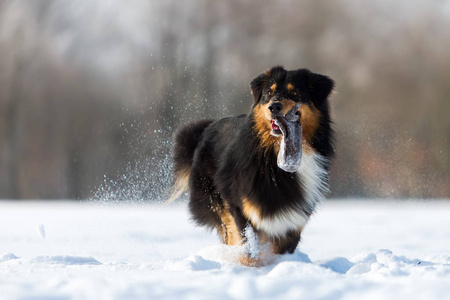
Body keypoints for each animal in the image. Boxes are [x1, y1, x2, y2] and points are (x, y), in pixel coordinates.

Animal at [169, 65, 334, 264]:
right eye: (269, 93)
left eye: (295, 93)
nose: (274, 106)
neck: (273, 155)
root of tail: (207, 128)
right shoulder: (239, 205)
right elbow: (249, 244)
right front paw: (251, 265)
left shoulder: (295, 216)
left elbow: (282, 248)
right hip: (216, 200)